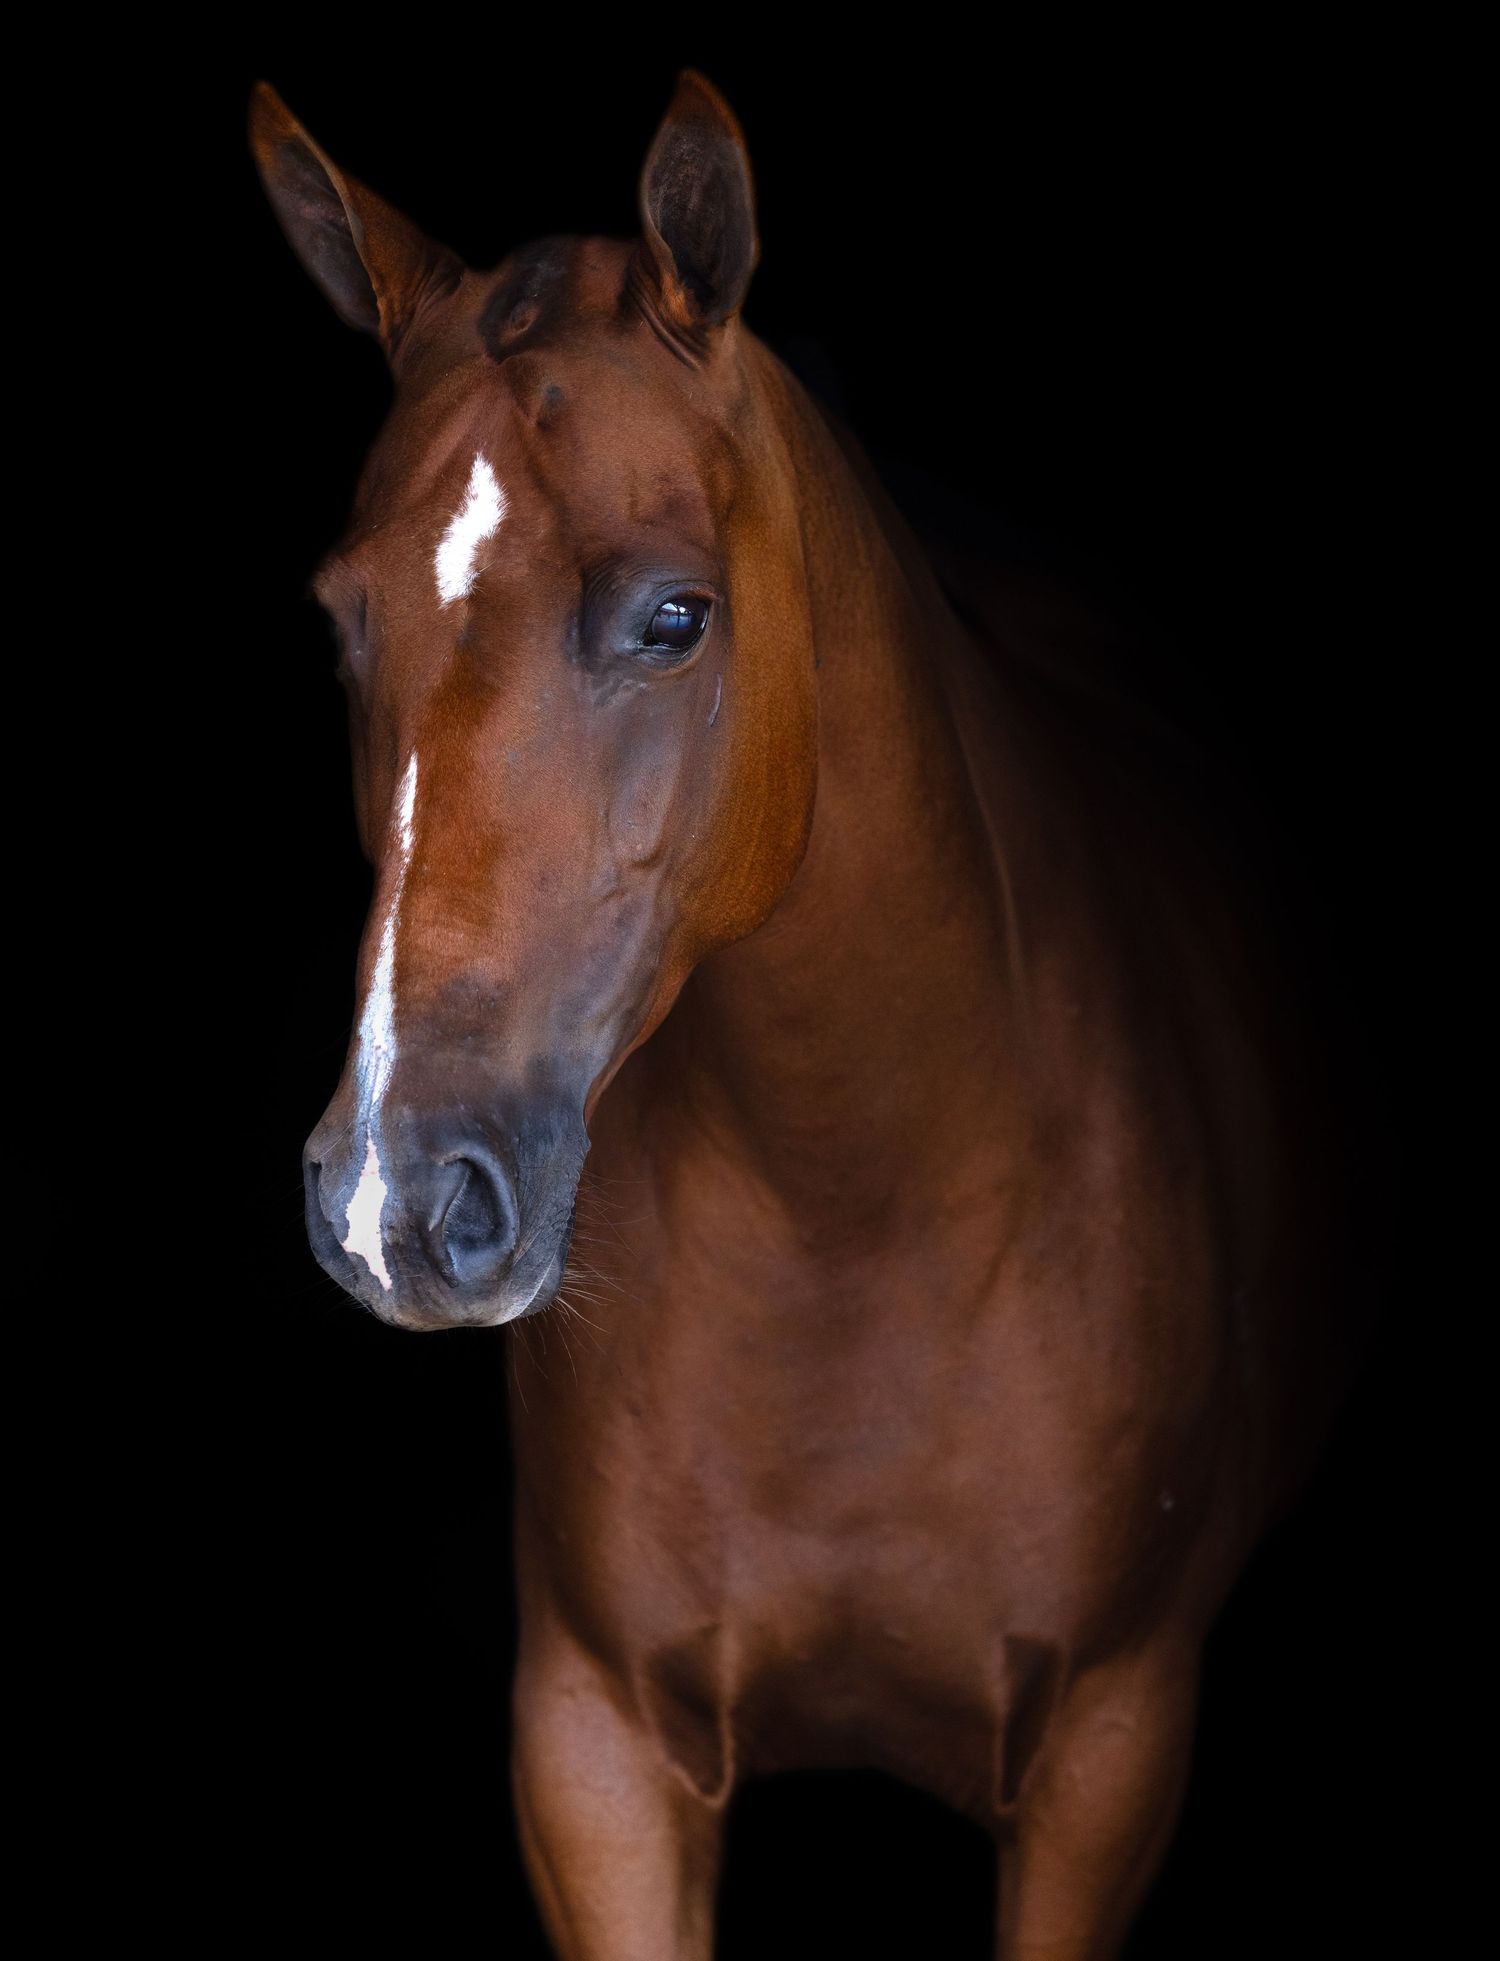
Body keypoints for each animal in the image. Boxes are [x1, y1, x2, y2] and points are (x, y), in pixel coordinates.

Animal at [252, 71, 1344, 1958]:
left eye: (675, 615)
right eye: (342, 628)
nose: (399, 1199)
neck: (861, 1221)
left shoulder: (1106, 1759)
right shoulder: (595, 1753)